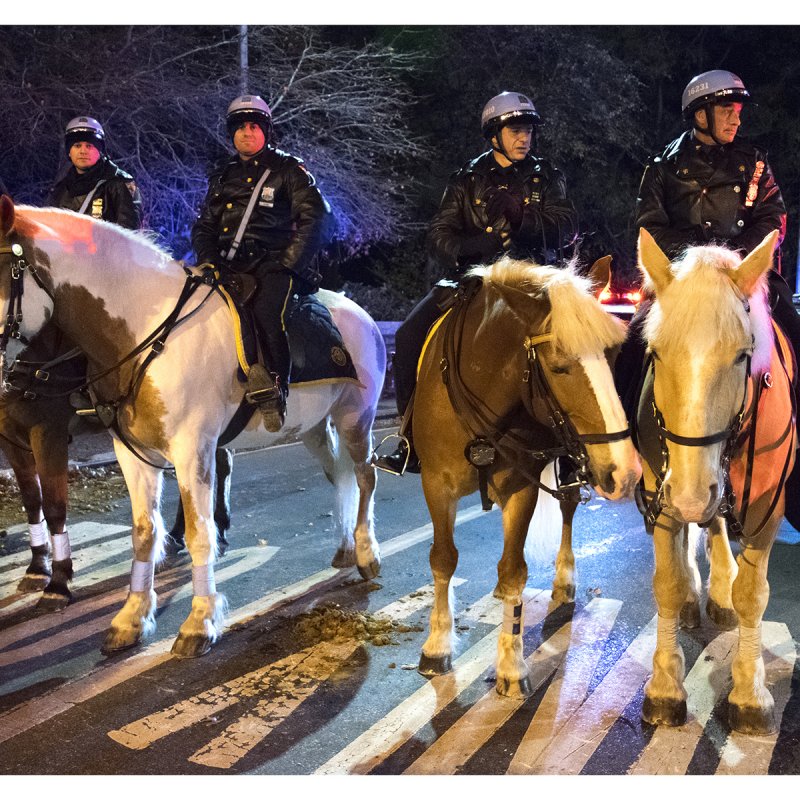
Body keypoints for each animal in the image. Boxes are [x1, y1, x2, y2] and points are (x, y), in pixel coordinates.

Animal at [0, 200, 388, 656]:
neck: (145, 328)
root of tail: (362, 314)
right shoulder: (132, 455)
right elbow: (144, 533)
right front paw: (131, 618)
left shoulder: (191, 451)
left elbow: (200, 532)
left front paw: (199, 622)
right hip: (312, 428)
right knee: (339, 476)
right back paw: (345, 547)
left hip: (355, 420)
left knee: (365, 478)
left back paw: (367, 553)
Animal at [410, 255, 640, 692]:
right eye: (559, 366)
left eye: (614, 353)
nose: (626, 473)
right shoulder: (435, 485)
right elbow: (443, 560)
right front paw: (436, 646)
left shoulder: (520, 488)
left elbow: (513, 573)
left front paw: (511, 664)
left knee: (568, 506)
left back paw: (565, 579)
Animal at [636, 228, 796, 736]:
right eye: (655, 354)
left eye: (743, 356)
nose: (690, 494)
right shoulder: (663, 491)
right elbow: (665, 583)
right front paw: (665, 685)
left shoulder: (767, 504)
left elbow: (753, 594)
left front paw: (749, 692)